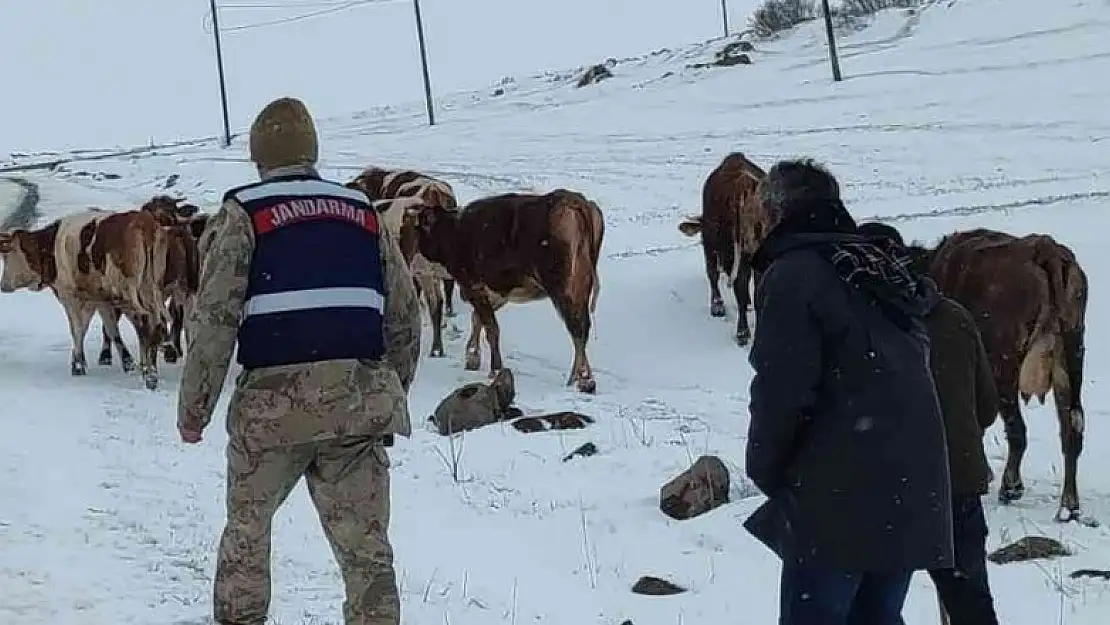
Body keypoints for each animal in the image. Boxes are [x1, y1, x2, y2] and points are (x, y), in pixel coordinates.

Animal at [0, 207, 173, 388]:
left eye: (7, 256)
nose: (3, 285)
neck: (51, 247)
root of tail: (144, 221)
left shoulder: (70, 295)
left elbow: (77, 329)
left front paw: (78, 365)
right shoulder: (98, 298)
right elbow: (107, 328)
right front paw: (126, 362)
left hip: (128, 289)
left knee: (144, 320)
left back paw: (149, 374)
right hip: (151, 288)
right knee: (157, 322)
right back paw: (152, 370)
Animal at [410, 188, 603, 392]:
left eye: (419, 228)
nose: (414, 260)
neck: (454, 231)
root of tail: (572, 199)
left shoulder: (473, 285)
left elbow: (491, 327)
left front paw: (495, 368)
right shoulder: (496, 292)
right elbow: (478, 319)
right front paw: (473, 357)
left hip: (563, 288)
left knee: (577, 327)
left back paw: (581, 379)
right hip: (582, 286)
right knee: (582, 327)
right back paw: (583, 378)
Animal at [901, 228, 1092, 523]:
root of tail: (1043, 247)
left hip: (1003, 367)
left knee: (1017, 430)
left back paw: (1010, 487)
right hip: (1071, 356)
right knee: (1072, 428)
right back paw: (1068, 506)